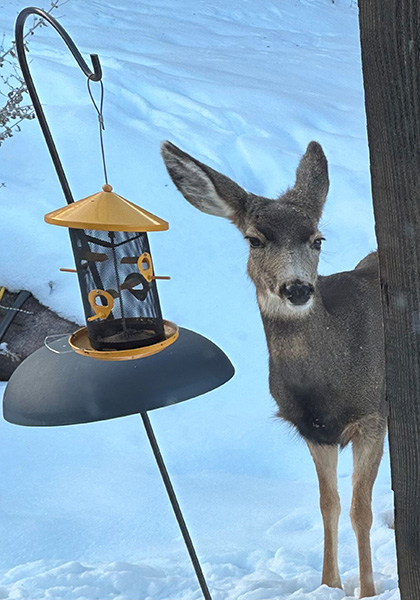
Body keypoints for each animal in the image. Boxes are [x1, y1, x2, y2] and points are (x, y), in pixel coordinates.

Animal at [161, 138, 388, 596]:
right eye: (254, 240)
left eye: (317, 239)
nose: (297, 288)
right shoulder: (312, 428)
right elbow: (328, 504)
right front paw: (329, 585)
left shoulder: (373, 415)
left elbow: (361, 509)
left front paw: (368, 591)